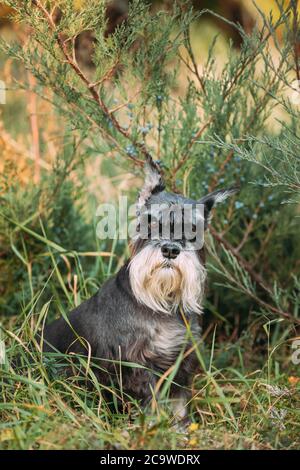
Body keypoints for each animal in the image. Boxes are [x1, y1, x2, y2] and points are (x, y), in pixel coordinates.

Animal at [42, 163, 238, 420]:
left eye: (194, 230)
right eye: (152, 222)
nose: (170, 249)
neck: (162, 303)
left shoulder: (180, 362)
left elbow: (179, 405)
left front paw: (180, 427)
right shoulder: (136, 365)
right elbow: (150, 403)